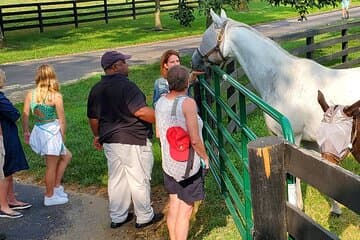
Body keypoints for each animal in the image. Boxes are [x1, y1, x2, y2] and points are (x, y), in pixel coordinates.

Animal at [191, 8, 360, 208]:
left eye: (205, 37)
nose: (194, 61)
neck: (282, 79)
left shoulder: (293, 140)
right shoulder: (312, 143)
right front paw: (336, 208)